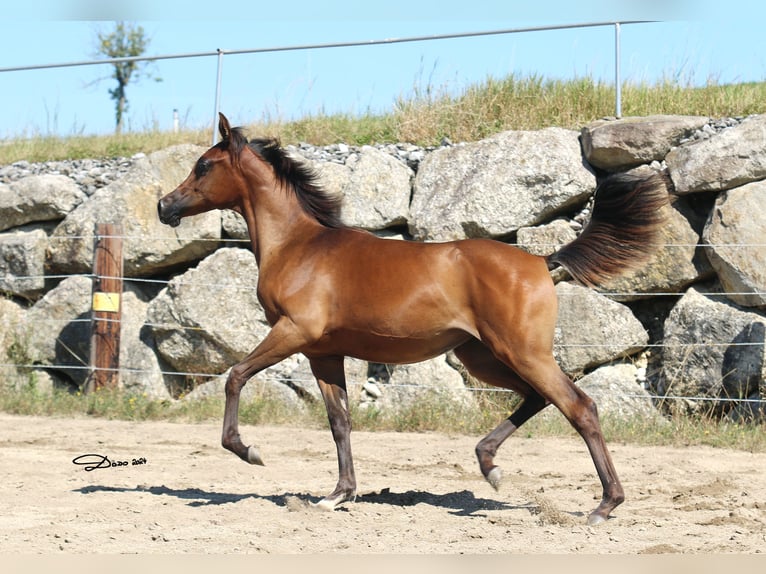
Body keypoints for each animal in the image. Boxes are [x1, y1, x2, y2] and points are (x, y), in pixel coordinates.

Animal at [159, 112, 668, 528]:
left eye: (203, 165)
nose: (165, 206)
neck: (300, 248)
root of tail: (541, 261)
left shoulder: (293, 332)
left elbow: (235, 376)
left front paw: (249, 451)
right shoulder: (323, 352)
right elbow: (339, 420)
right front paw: (339, 495)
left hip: (521, 352)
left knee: (579, 406)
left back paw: (604, 505)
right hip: (484, 356)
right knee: (538, 399)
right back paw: (489, 466)